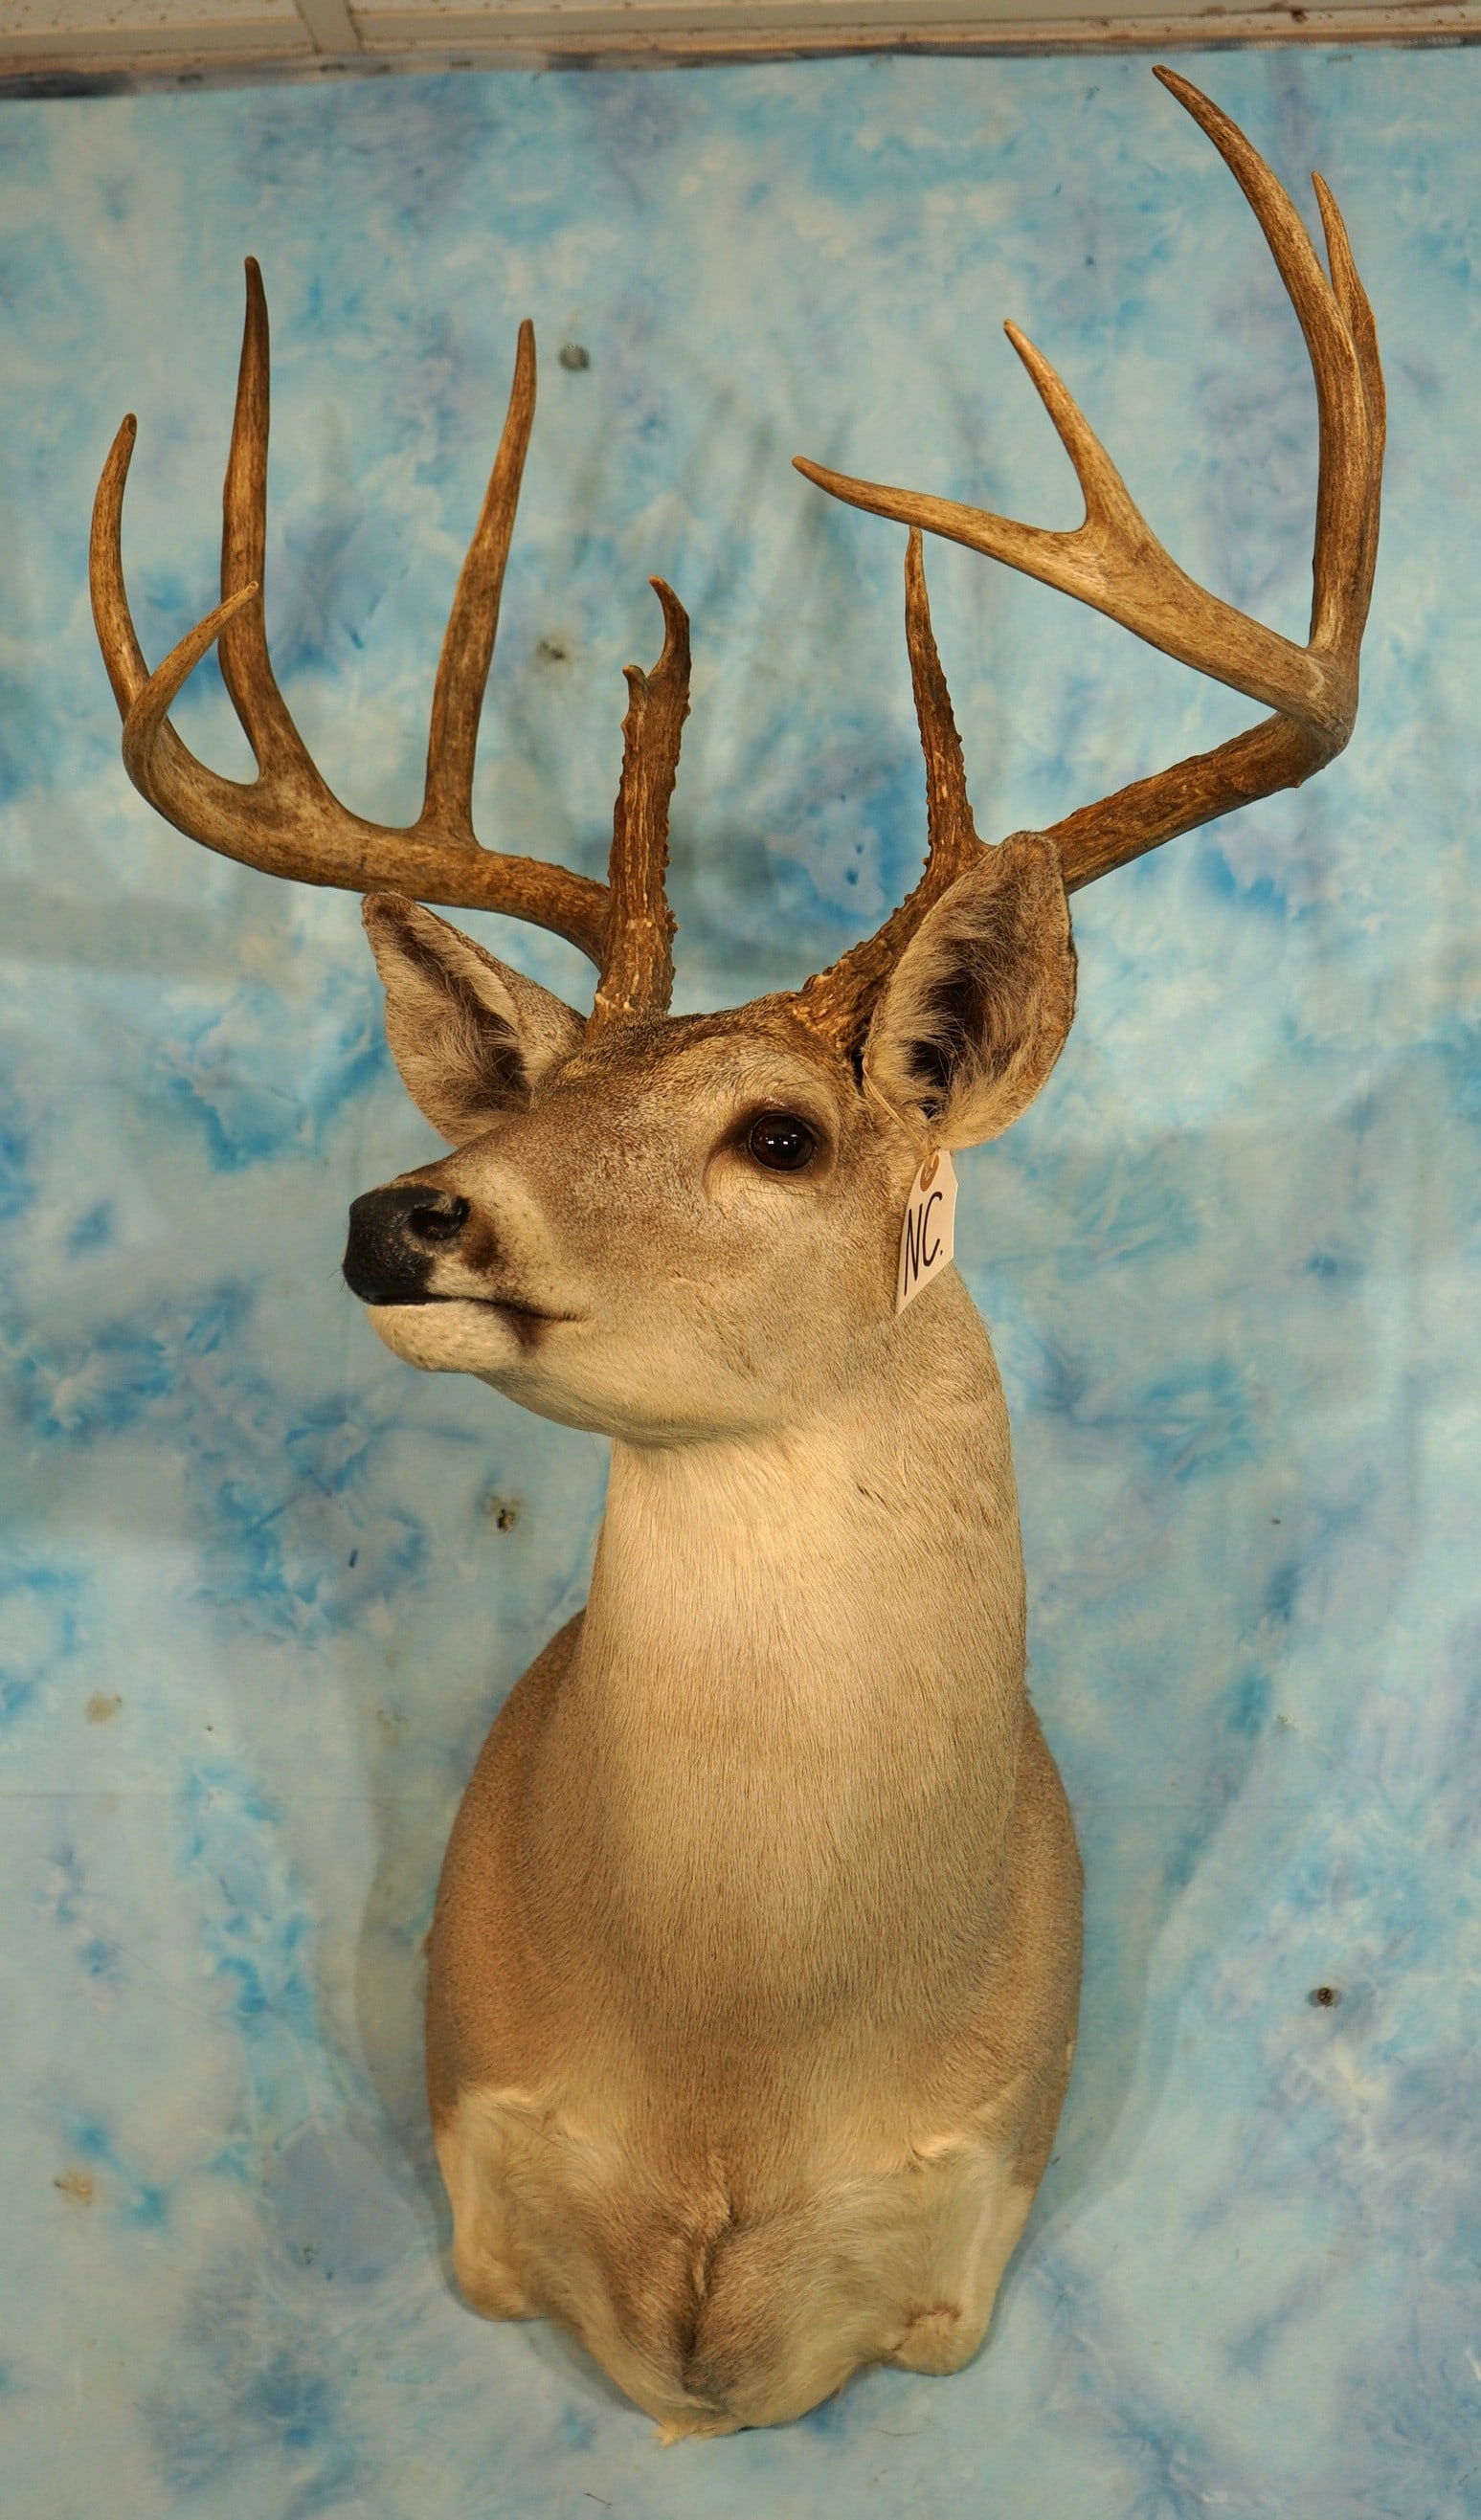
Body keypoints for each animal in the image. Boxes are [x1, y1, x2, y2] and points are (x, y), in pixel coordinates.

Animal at [90, 69, 1382, 2438]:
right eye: (504, 1106)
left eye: (777, 1132)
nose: (399, 1207)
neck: (732, 2068)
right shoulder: (483, 2175)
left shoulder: (955, 2246)